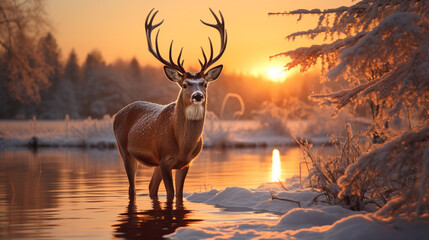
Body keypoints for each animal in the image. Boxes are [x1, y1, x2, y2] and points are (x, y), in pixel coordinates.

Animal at [113, 7, 227, 202]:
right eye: (184, 84)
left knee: (151, 188)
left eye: (204, 83)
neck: (183, 146)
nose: (198, 96)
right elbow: (171, 194)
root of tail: (117, 114)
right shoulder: (164, 159)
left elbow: (179, 195)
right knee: (132, 189)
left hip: (152, 163)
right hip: (125, 151)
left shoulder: (185, 163)